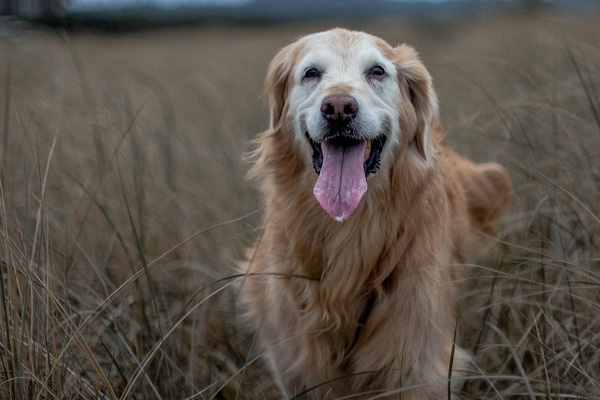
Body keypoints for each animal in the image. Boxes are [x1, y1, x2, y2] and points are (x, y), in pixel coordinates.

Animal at [239, 28, 510, 400]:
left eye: (377, 71)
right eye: (311, 73)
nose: (339, 108)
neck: (349, 230)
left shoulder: (417, 361)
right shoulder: (296, 365)